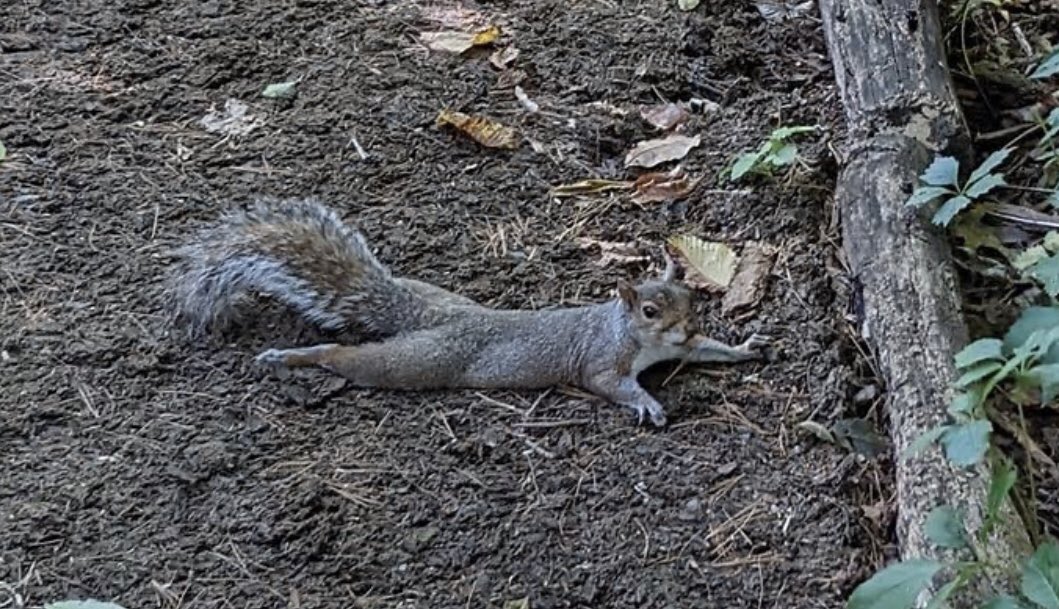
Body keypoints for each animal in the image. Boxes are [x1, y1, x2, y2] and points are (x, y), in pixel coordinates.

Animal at [166, 197, 770, 427]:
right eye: (648, 309)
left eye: (693, 298)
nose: (687, 325)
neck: (643, 342)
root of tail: (434, 320)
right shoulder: (603, 357)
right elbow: (607, 383)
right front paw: (646, 402)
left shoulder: (679, 348)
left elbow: (709, 353)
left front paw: (742, 348)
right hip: (418, 361)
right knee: (351, 357)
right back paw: (296, 357)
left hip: (434, 299)